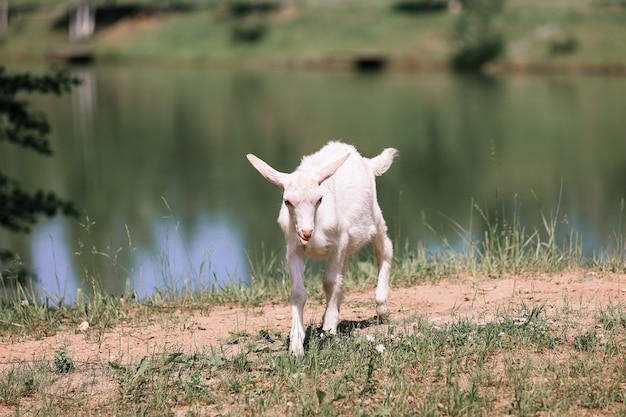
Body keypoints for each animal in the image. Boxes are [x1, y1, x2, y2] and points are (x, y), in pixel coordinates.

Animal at [246, 141, 398, 354]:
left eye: (319, 199)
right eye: (287, 201)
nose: (306, 232)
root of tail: (366, 162)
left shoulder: (339, 242)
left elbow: (330, 282)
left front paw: (328, 332)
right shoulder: (293, 247)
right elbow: (298, 292)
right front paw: (296, 345)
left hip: (374, 215)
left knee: (384, 249)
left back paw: (382, 307)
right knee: (343, 274)